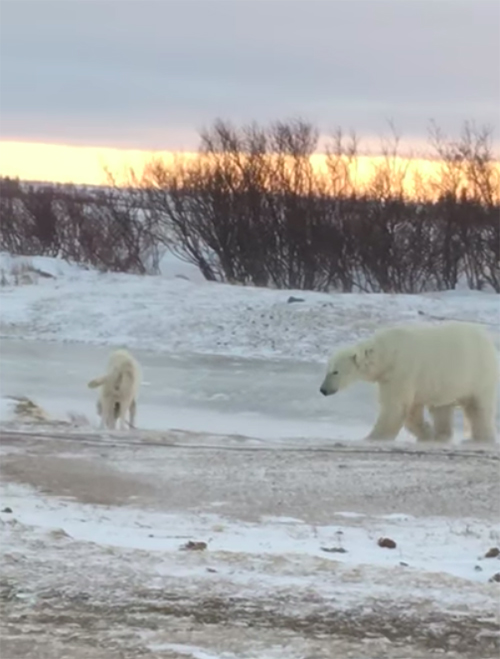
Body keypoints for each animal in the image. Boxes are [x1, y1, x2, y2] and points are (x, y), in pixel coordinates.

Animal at [320, 324, 496, 444]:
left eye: (335, 372)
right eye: (327, 370)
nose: (323, 390)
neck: (388, 354)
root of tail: (489, 341)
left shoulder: (402, 372)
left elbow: (396, 406)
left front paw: (374, 437)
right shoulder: (393, 377)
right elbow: (412, 409)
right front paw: (427, 434)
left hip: (477, 375)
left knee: (478, 407)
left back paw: (481, 438)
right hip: (445, 382)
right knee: (441, 408)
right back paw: (441, 436)